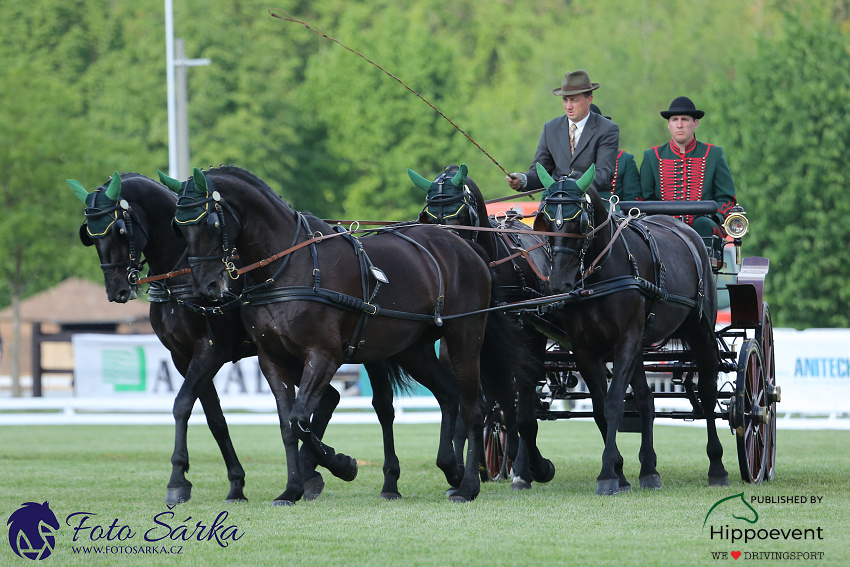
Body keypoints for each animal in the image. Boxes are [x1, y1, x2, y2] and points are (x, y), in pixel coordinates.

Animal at [68, 172, 338, 502]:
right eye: (90, 235)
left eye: (119, 230)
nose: (117, 290)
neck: (181, 274)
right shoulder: (182, 356)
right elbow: (215, 419)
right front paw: (236, 484)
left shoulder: (211, 351)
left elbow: (182, 404)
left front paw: (177, 480)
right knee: (329, 397)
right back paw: (311, 469)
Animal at [167, 166, 496, 504]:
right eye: (178, 227)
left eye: (211, 222)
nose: (205, 287)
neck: (287, 267)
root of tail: (461, 244)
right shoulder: (271, 358)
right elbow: (287, 425)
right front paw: (292, 488)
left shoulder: (324, 355)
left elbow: (300, 419)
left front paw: (341, 464)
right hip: (413, 350)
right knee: (449, 394)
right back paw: (452, 468)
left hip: (465, 337)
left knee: (473, 409)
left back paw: (468, 485)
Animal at [406, 164, 556, 488]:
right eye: (429, 217)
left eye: (461, 213)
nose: (448, 257)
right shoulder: (459, 349)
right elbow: (471, 408)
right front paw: (464, 469)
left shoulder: (524, 346)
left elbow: (522, 410)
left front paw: (529, 467)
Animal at [536, 162, 724, 494]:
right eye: (545, 219)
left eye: (580, 221)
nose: (558, 284)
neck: (600, 274)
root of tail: (686, 230)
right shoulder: (585, 349)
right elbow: (601, 407)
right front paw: (619, 472)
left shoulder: (625, 339)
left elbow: (613, 404)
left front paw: (607, 476)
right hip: (639, 345)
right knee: (647, 400)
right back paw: (649, 469)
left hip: (700, 332)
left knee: (708, 393)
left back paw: (717, 466)